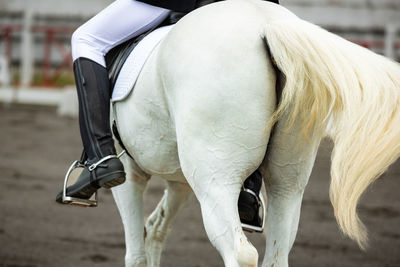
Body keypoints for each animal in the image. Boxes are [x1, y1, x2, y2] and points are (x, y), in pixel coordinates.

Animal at [109, 1, 400, 266]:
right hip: (287, 183)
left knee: (239, 253)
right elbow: (156, 228)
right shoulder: (179, 179)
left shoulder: (128, 173)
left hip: (215, 181)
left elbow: (136, 254)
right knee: (277, 255)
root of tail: (266, 23)